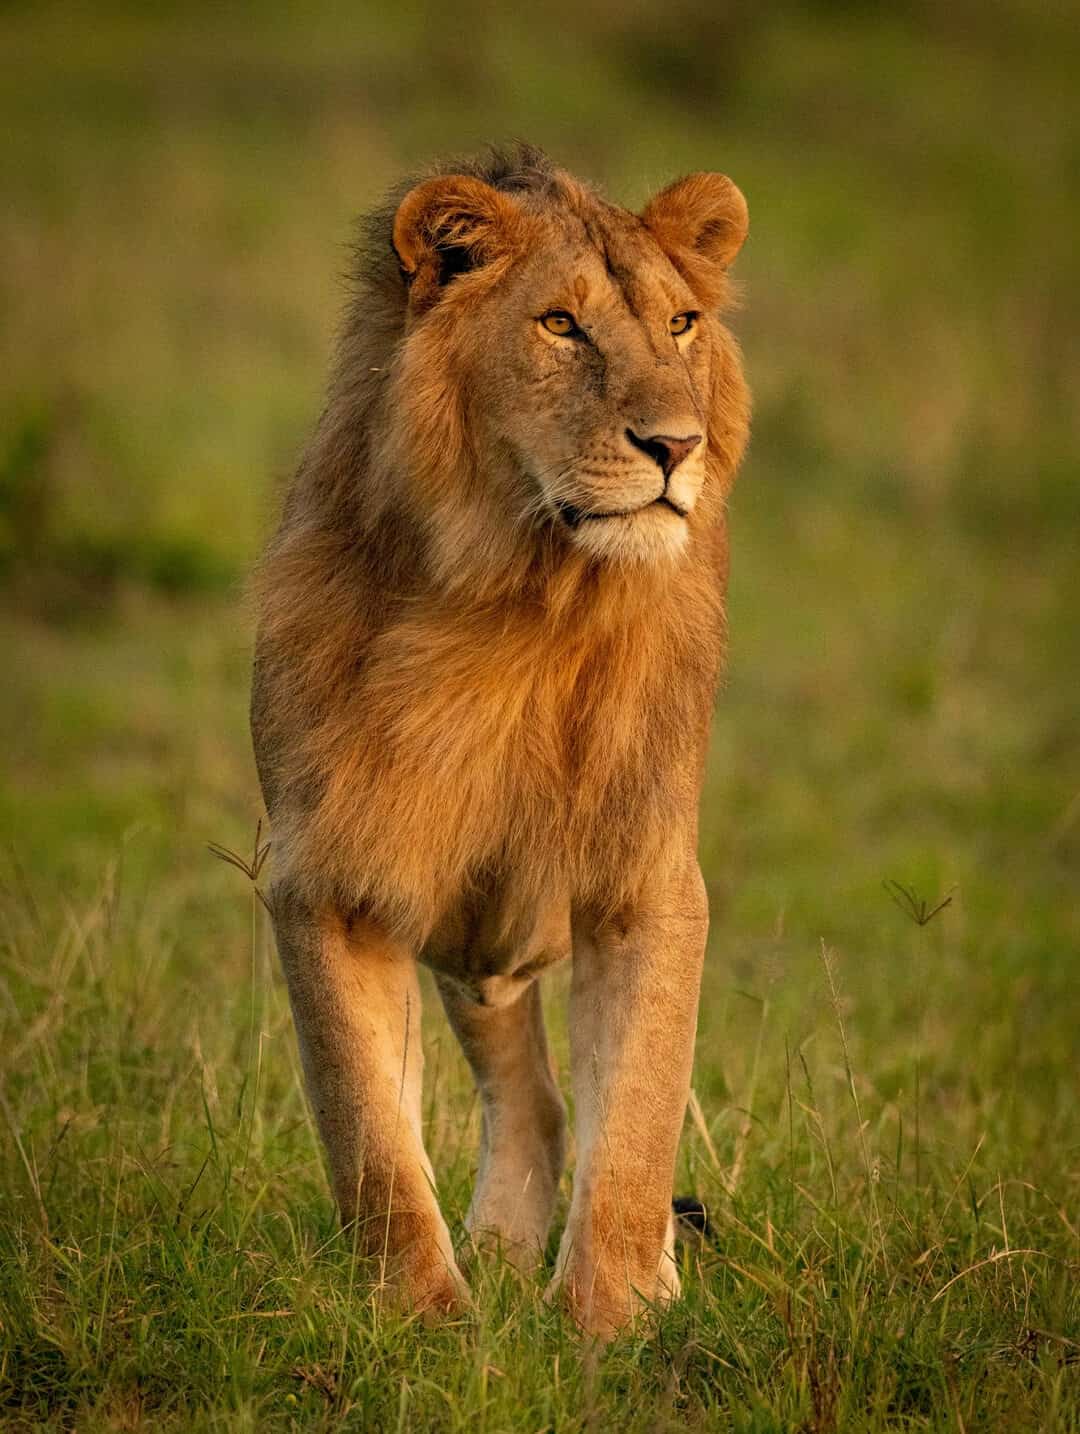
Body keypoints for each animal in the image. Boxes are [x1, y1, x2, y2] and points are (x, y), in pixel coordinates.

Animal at [250, 145, 750, 1337]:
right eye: (560, 325)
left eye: (681, 325)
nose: (677, 445)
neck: (520, 601)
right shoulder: (327, 874)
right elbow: (369, 1134)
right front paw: (422, 1321)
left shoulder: (647, 875)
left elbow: (639, 1115)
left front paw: (611, 1319)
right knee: (529, 1093)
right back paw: (495, 1246)